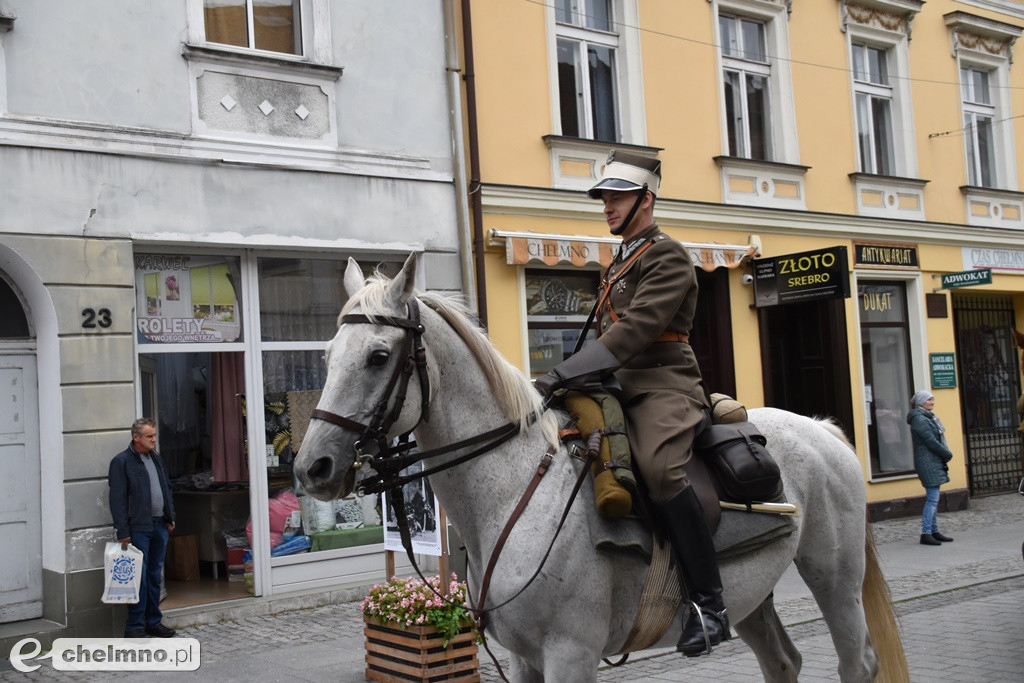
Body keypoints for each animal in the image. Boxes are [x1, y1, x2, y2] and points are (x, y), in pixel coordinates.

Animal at [292, 255, 909, 683]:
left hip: (834, 578)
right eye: (327, 354)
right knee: (783, 662)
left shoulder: (571, 654)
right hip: (753, 595)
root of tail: (822, 428)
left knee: (857, 663)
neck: (514, 490)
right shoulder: (523, 660)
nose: (312, 466)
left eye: (378, 356)